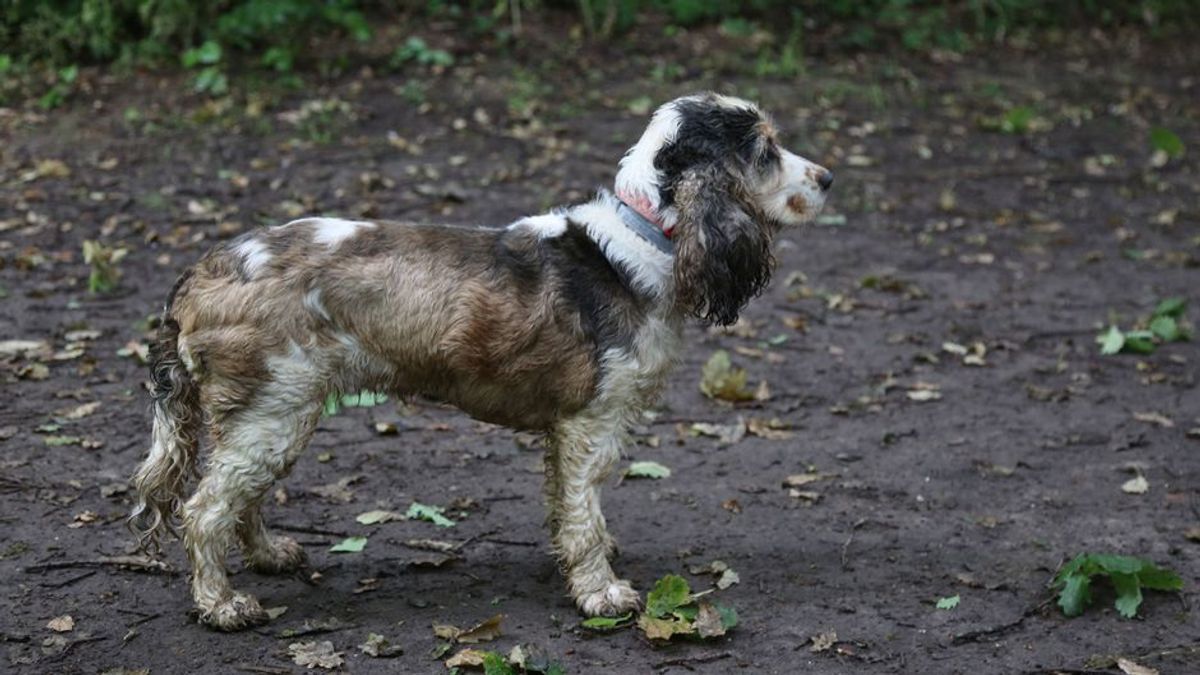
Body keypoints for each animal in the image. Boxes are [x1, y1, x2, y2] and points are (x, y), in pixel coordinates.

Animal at [126, 91, 830, 629]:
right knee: (204, 510)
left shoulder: (566, 433)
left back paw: (271, 555)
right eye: (764, 150)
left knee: (239, 498)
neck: (642, 239)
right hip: (272, 412)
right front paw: (601, 593)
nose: (828, 179)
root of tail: (199, 273)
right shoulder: (590, 423)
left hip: (274, 417)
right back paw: (223, 606)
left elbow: (569, 511)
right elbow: (585, 516)